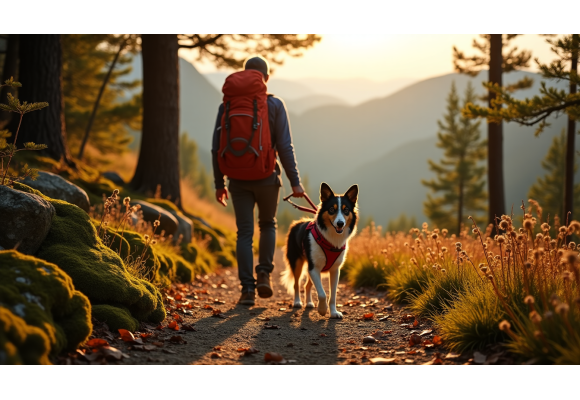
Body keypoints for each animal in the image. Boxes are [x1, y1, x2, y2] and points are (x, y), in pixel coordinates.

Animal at [280, 184, 358, 318]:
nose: (340, 223)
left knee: (307, 285)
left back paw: (309, 303)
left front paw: (333, 312)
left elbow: (333, 294)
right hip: (297, 262)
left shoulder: (335, 270)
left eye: (346, 210)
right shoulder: (314, 268)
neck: (330, 239)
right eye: (331, 209)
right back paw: (297, 302)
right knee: (296, 284)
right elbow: (322, 293)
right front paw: (322, 309)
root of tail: (297, 223)